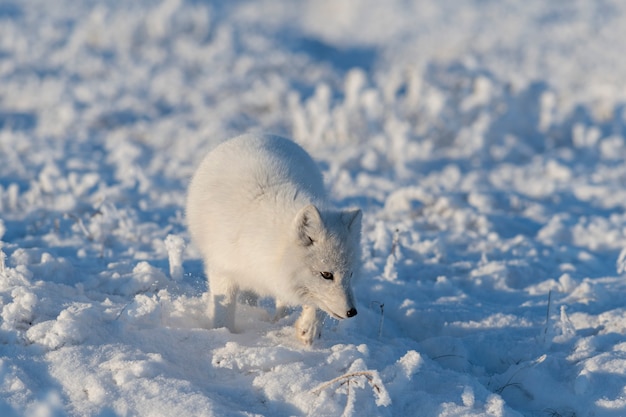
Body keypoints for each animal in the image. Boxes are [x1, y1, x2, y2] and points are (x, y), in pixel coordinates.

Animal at [185, 133, 358, 344]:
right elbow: (223, 310)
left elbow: (315, 303)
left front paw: (309, 328)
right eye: (326, 275)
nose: (352, 312)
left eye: (351, 274)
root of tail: (257, 134)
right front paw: (221, 334)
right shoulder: (222, 268)